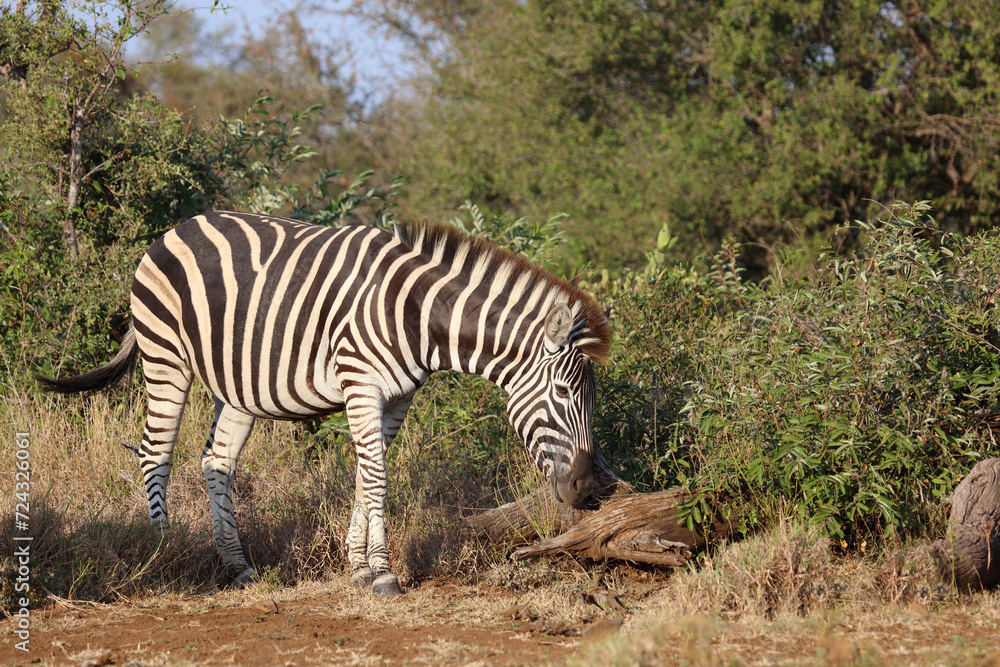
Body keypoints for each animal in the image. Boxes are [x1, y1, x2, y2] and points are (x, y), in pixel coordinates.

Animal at [39, 211, 612, 597]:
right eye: (563, 394)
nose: (587, 492)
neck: (418, 315)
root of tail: (178, 228)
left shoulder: (397, 399)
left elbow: (365, 474)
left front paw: (359, 567)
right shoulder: (361, 383)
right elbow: (376, 477)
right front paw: (383, 574)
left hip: (238, 382)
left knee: (216, 462)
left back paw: (236, 565)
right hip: (165, 356)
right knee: (155, 454)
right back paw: (165, 555)